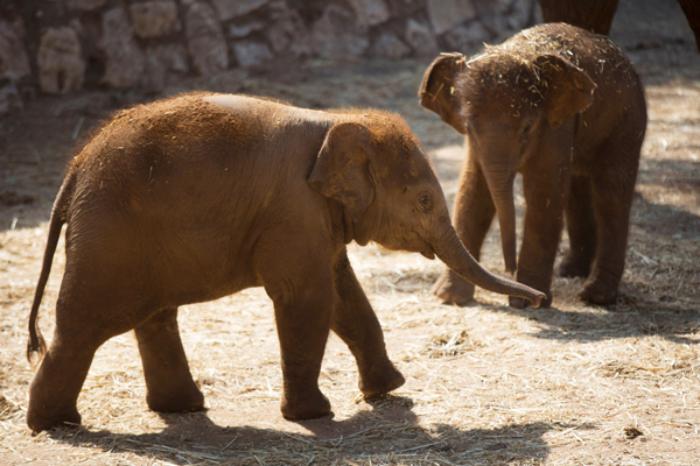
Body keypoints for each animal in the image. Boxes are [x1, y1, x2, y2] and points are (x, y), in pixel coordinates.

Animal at [26, 93, 548, 432]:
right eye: (422, 200)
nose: (541, 299)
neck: (337, 121)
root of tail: (74, 169)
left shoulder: (317, 216)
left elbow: (345, 295)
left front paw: (390, 389)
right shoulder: (294, 209)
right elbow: (308, 298)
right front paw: (315, 415)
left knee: (154, 316)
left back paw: (181, 409)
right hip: (107, 238)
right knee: (83, 325)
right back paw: (55, 425)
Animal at [418, 24, 648, 310]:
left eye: (527, 128)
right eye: (468, 126)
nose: (509, 270)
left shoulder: (554, 126)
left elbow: (544, 192)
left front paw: (527, 304)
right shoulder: (476, 145)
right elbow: (473, 191)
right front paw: (448, 298)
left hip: (627, 123)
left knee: (611, 194)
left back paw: (595, 297)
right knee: (578, 189)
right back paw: (569, 271)